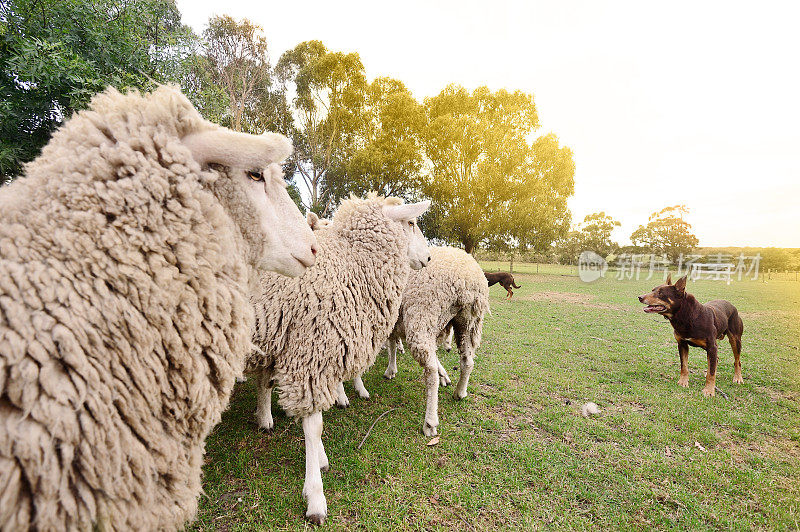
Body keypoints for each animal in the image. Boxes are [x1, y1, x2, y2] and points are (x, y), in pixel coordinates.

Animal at [248, 192, 432, 524]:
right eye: (411, 223)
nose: (428, 259)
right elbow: (314, 426)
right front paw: (315, 496)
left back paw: (265, 417)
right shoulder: (309, 355)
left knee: (263, 380)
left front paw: (319, 459)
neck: (351, 262)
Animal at [348, 245, 488, 436]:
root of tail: (466, 279)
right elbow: (393, 343)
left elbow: (392, 345)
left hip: (423, 313)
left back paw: (430, 422)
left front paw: (390, 370)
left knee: (430, 372)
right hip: (468, 323)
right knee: (467, 361)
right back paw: (460, 392)